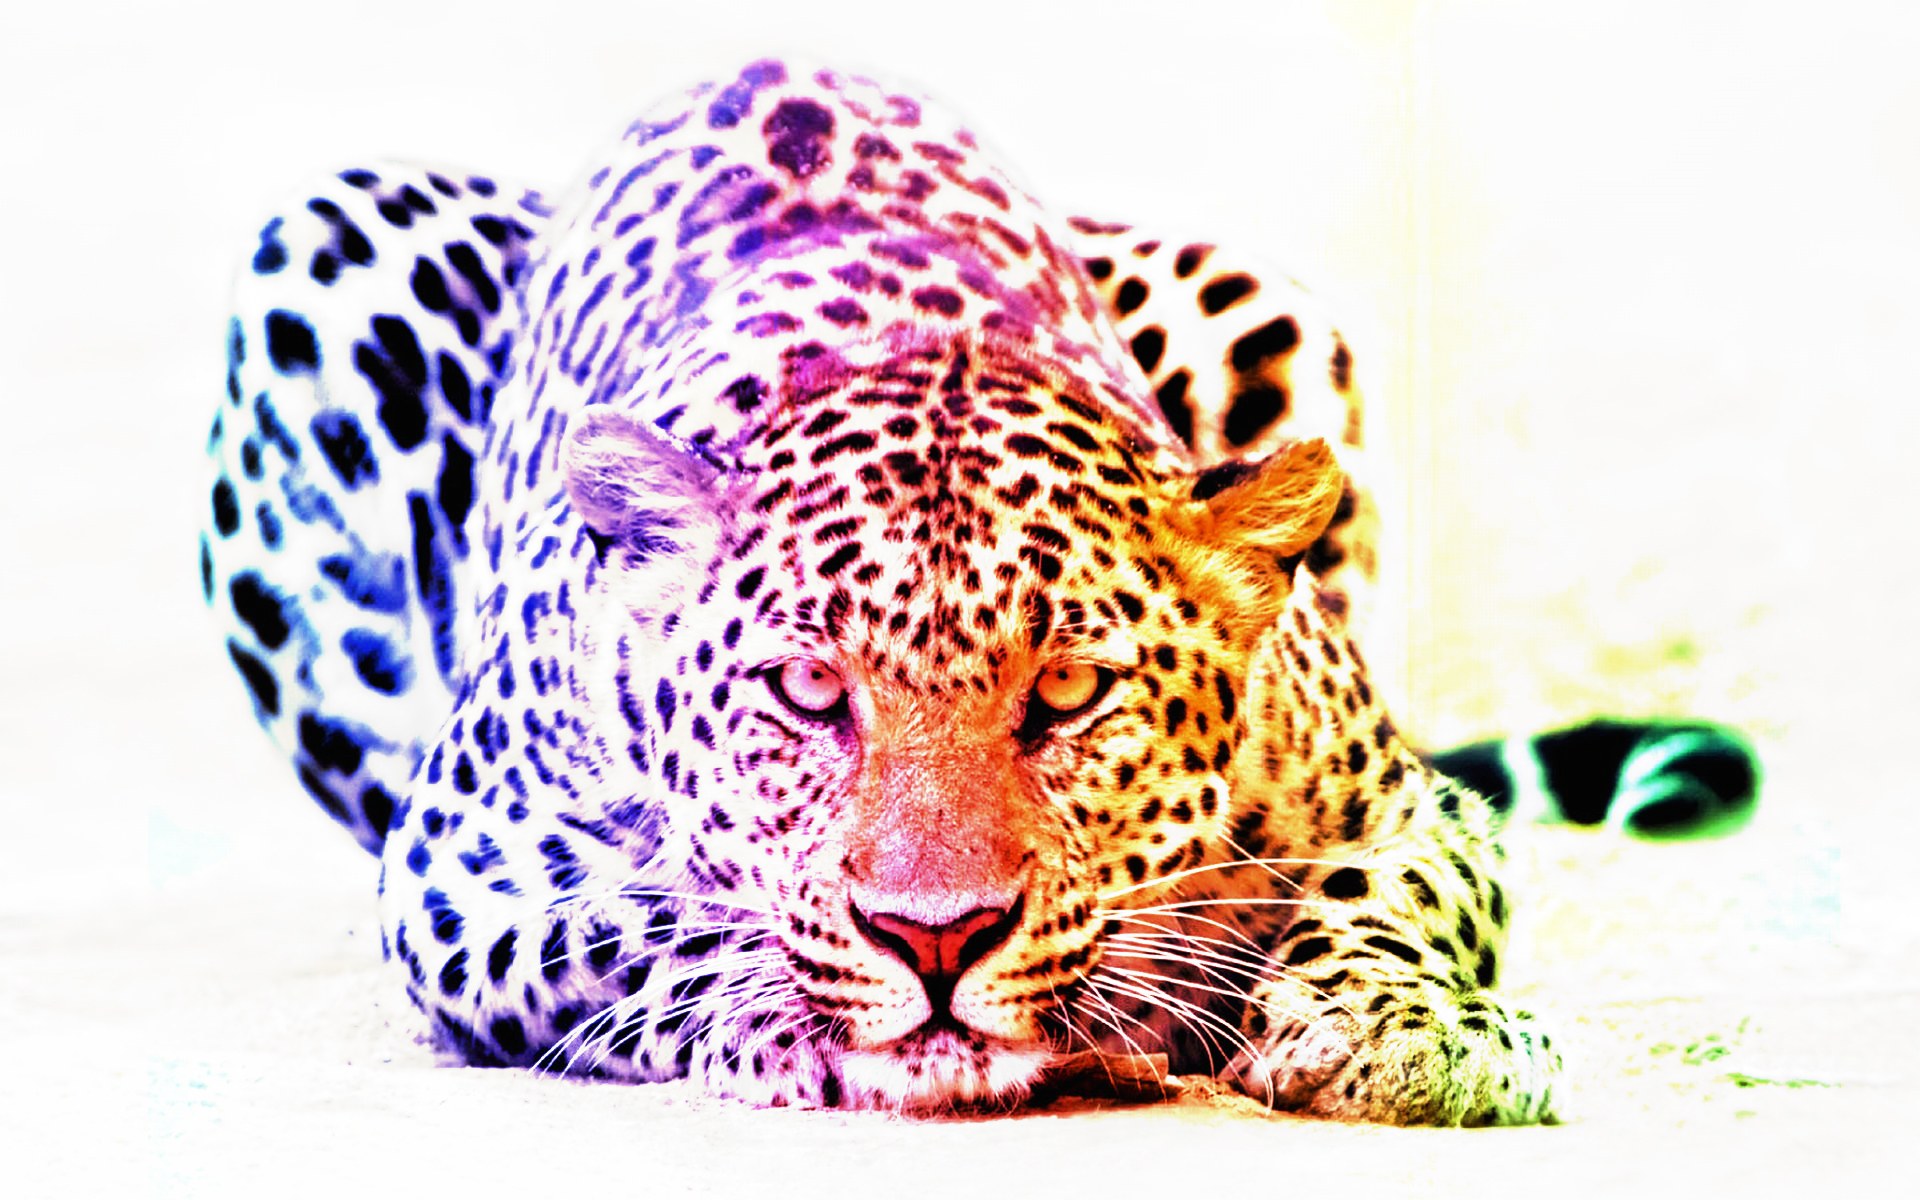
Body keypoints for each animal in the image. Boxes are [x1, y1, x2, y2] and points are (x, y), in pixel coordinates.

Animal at [200, 58, 1758, 1123]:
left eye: (1068, 692)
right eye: (808, 692)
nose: (937, 938)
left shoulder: (1403, 798)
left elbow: (1402, 890)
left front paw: (1402, 1027)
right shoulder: (461, 867)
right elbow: (637, 925)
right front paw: (788, 1013)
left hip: (1258, 298)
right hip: (323, 247)